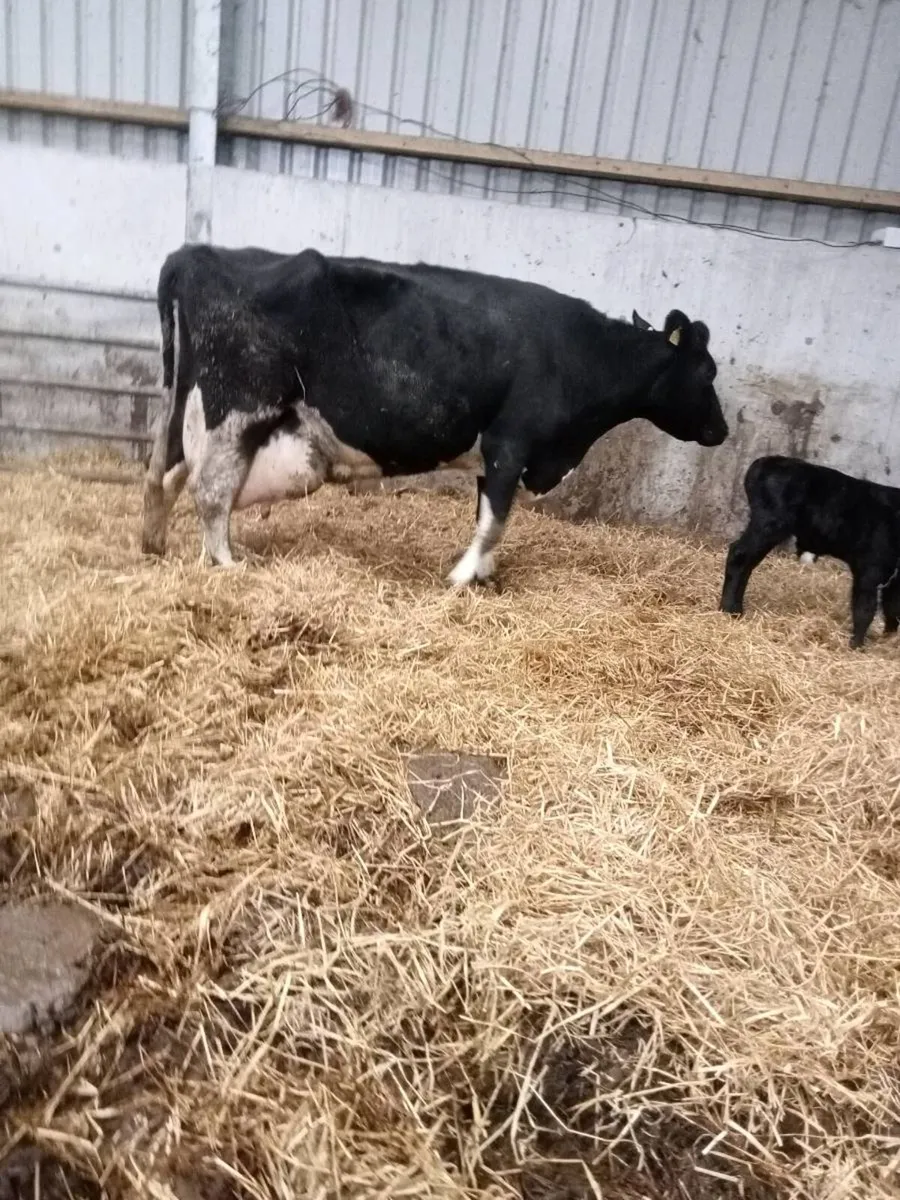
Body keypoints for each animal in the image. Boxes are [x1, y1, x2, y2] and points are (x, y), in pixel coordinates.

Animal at [141, 244, 729, 584]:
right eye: (707, 372)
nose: (722, 431)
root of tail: (195, 254)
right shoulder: (512, 441)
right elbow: (494, 521)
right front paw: (462, 577)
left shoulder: (495, 455)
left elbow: (486, 513)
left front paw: (486, 577)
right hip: (238, 410)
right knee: (210, 492)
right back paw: (227, 564)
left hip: (191, 405)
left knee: (165, 477)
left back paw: (155, 548)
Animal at [720, 455, 900, 648]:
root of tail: (764, 462)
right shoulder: (870, 568)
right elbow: (865, 607)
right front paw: (856, 645)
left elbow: (892, 606)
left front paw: (889, 638)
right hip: (769, 525)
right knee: (739, 555)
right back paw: (730, 610)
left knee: (747, 563)